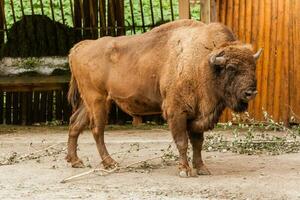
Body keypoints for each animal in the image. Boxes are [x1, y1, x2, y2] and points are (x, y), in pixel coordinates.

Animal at [66, 19, 262, 177]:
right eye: (231, 68)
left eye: (253, 66)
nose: (250, 92)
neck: (203, 63)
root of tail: (80, 47)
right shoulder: (177, 112)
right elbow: (182, 142)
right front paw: (184, 170)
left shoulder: (197, 114)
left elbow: (198, 142)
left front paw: (201, 168)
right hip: (98, 100)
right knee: (97, 130)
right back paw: (110, 163)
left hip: (88, 103)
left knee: (75, 124)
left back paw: (75, 161)